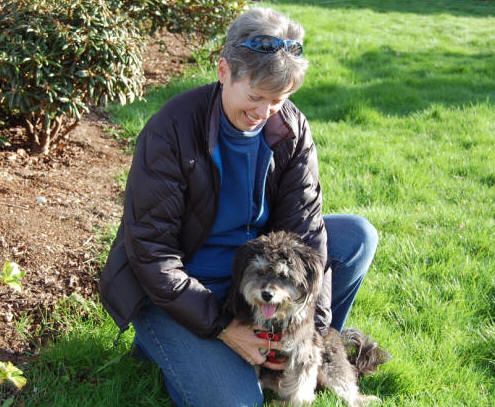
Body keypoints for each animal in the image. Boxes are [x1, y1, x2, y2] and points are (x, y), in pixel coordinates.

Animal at [224, 231, 390, 407]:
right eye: (260, 272)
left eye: (283, 275)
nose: (267, 294)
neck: (274, 325)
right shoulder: (255, 351)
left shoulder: (305, 351)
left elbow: (300, 389)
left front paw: (293, 402)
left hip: (331, 366)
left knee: (349, 391)